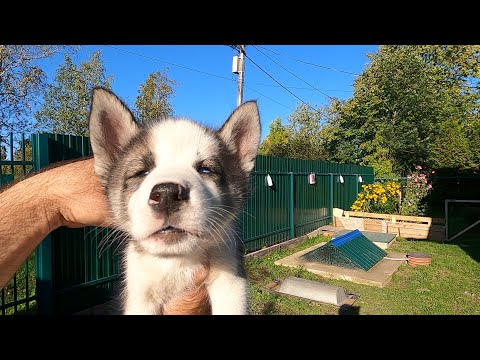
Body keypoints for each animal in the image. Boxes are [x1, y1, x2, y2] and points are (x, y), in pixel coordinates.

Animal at [86, 88, 258, 316]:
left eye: (206, 169)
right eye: (142, 172)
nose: (167, 194)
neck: (176, 261)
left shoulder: (230, 281)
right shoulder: (139, 294)